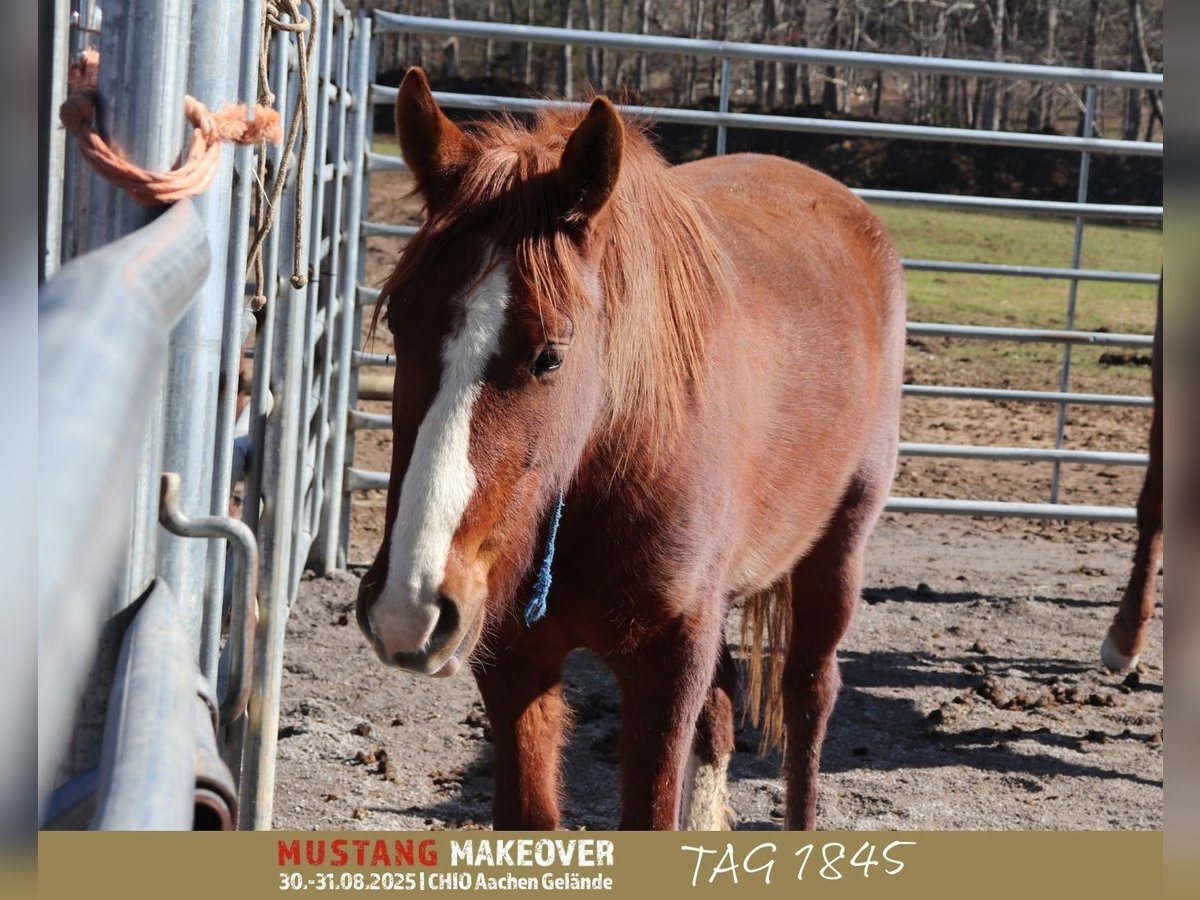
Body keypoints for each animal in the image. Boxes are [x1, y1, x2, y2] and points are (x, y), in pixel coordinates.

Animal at [360, 68, 902, 830]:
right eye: (400, 325)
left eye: (551, 355)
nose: (409, 607)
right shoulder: (515, 661)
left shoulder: (664, 666)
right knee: (725, 712)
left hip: (837, 552)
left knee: (809, 696)